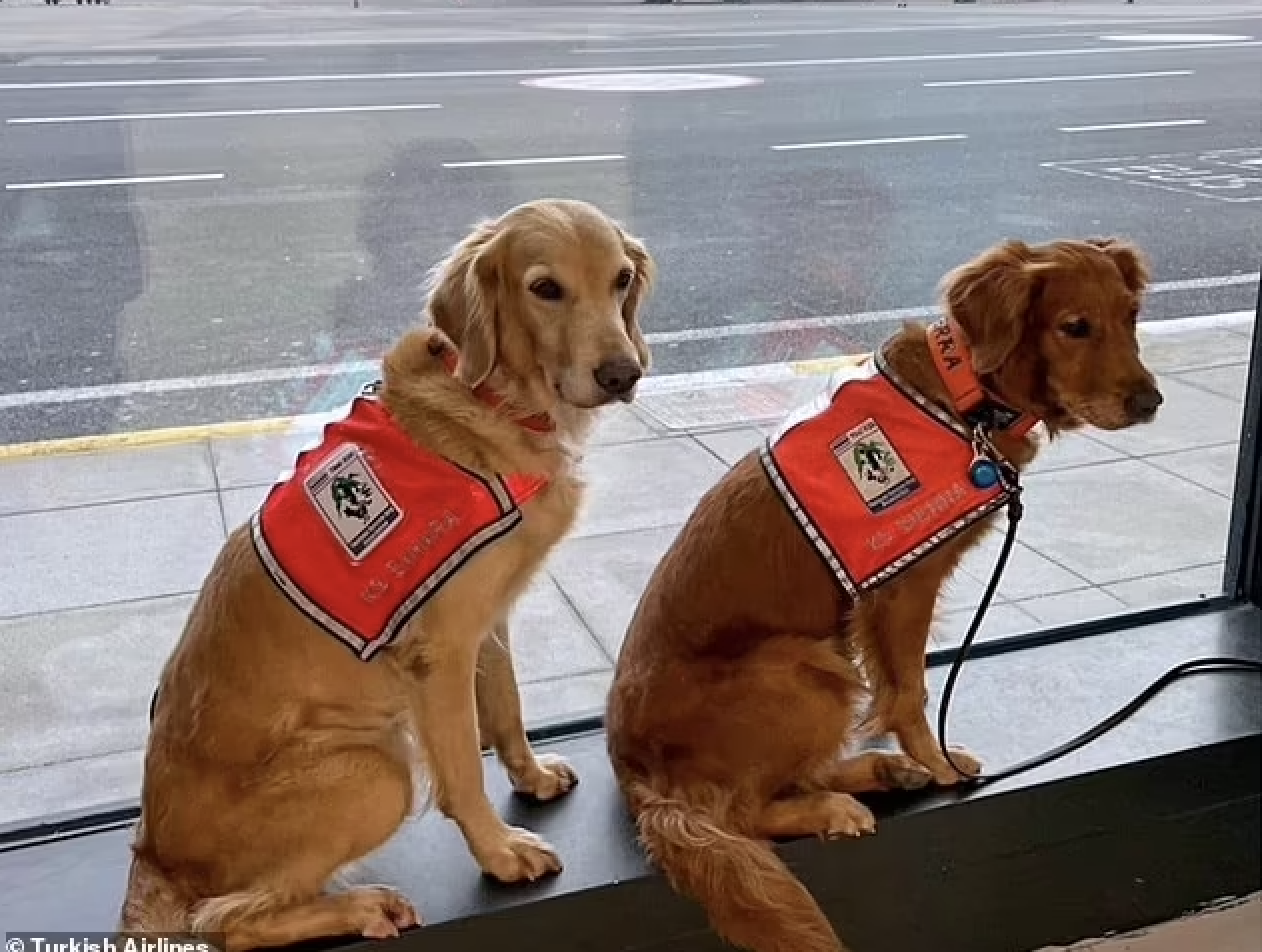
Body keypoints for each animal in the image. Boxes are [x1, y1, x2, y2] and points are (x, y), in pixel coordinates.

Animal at [605, 236, 1166, 949]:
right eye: (1075, 327)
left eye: (1131, 316)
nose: (1150, 401)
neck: (967, 396)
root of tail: (634, 773)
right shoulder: (901, 592)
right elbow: (910, 692)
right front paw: (937, 762)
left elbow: (902, 689)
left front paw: (915, 760)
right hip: (804, 666)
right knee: (742, 812)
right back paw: (837, 804)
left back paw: (879, 773)